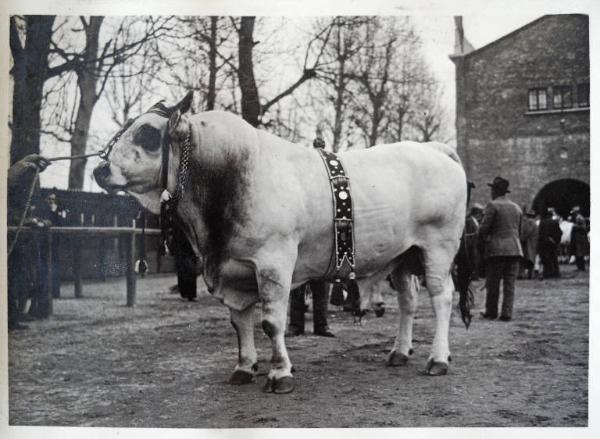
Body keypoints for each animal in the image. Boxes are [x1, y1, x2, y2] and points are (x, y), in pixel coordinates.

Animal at [92, 93, 468, 396]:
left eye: (147, 133)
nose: (99, 170)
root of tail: (432, 148)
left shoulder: (273, 262)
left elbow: (271, 322)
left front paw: (279, 373)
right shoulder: (232, 269)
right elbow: (240, 321)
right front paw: (244, 367)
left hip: (438, 246)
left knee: (442, 297)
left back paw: (438, 358)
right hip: (404, 255)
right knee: (408, 301)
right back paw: (399, 352)